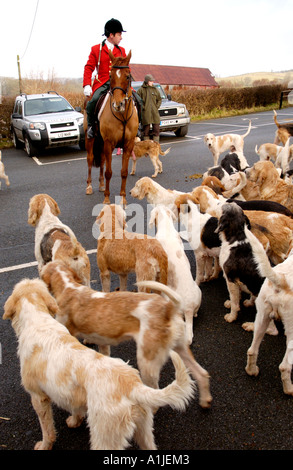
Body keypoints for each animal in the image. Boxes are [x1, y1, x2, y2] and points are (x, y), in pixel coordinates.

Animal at [84, 49, 138, 206]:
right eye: (110, 76)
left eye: (127, 76)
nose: (118, 104)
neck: (122, 116)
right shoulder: (109, 143)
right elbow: (109, 172)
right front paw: (107, 199)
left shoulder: (128, 144)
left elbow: (124, 172)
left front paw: (123, 198)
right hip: (91, 140)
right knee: (90, 159)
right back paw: (89, 186)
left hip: (101, 143)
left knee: (101, 160)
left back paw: (102, 185)